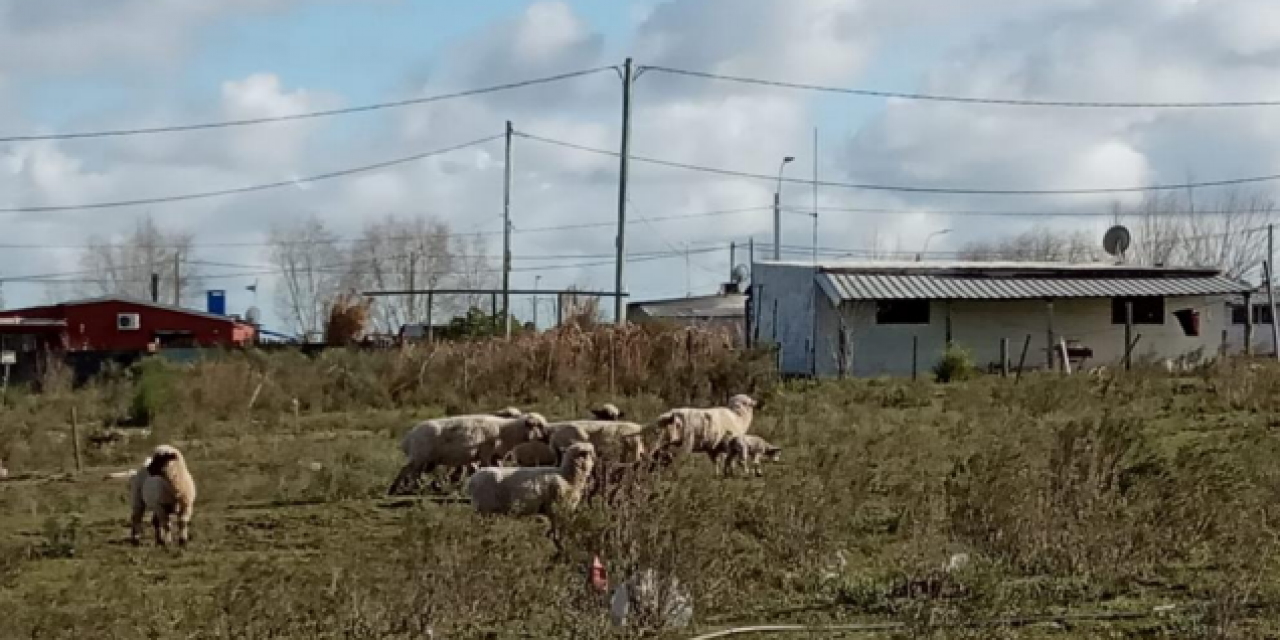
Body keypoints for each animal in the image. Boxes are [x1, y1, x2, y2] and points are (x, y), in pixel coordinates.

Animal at [389, 409, 550, 494]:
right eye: (540, 425)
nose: (549, 436)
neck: (505, 431)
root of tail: (408, 437)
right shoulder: (486, 453)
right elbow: (486, 468)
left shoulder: (494, 456)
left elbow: (495, 468)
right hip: (420, 456)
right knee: (412, 472)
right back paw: (415, 488)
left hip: (421, 458)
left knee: (408, 470)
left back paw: (395, 488)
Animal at [463, 442, 596, 517]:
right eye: (587, 452)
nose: (595, 458)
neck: (567, 475)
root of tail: (472, 480)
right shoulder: (557, 507)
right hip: (484, 508)